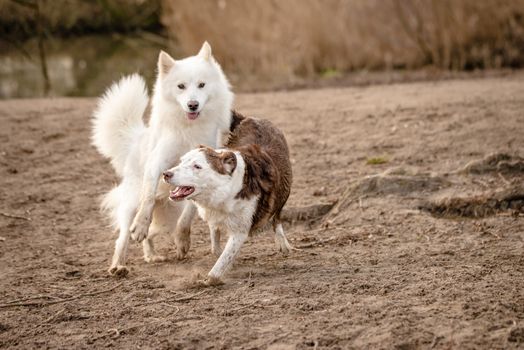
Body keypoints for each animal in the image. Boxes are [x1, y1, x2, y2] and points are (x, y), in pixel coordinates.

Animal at [92, 41, 233, 276]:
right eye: (181, 86)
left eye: (201, 85)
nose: (193, 105)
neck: (188, 128)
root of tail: (137, 139)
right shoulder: (157, 163)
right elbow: (147, 200)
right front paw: (140, 225)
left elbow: (189, 215)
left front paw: (182, 241)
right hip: (131, 202)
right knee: (123, 237)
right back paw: (118, 265)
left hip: (169, 214)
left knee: (153, 234)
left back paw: (151, 255)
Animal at [164, 112, 292, 282]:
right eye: (182, 161)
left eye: (197, 166)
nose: (166, 174)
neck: (223, 191)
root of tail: (252, 118)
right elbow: (214, 238)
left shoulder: (240, 231)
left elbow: (223, 260)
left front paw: (209, 280)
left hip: (285, 189)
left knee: (277, 216)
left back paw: (282, 243)